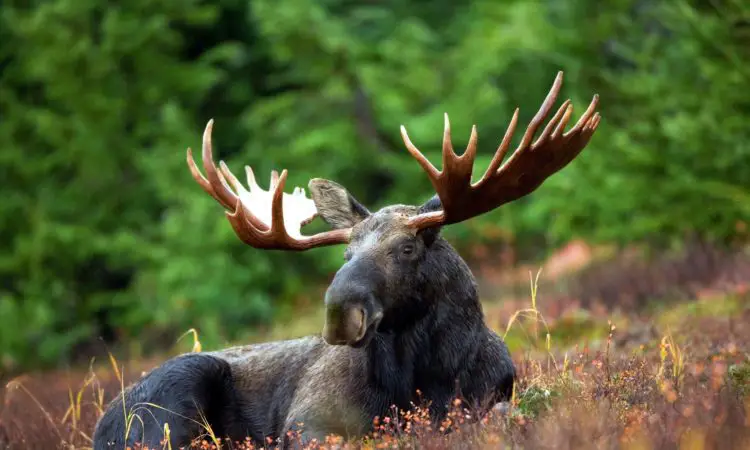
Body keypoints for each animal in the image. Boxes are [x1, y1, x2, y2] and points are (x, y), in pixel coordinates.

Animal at [94, 72, 604, 448]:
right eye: (346, 251)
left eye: (406, 248)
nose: (340, 312)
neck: (425, 379)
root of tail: (103, 422)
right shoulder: (308, 421)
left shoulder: (494, 395)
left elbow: (502, 414)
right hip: (174, 392)